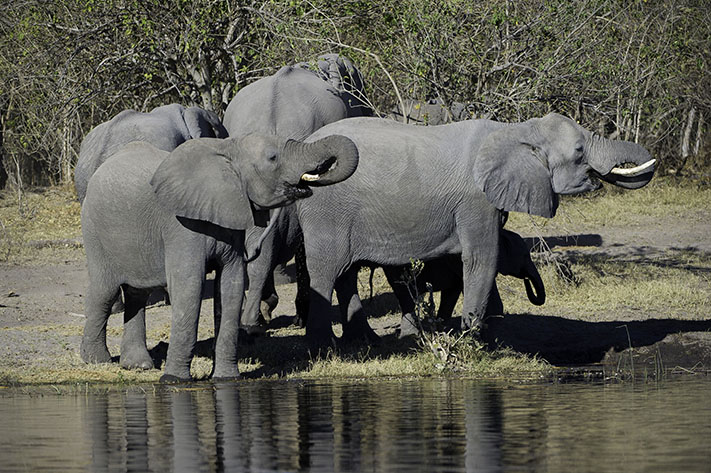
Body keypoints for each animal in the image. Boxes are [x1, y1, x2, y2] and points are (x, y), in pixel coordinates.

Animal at [80, 131, 358, 382]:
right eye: (273, 158)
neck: (229, 150)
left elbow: (231, 285)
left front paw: (226, 379)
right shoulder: (181, 225)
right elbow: (190, 286)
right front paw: (174, 381)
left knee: (138, 293)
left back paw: (139, 366)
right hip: (94, 230)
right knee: (104, 292)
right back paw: (97, 361)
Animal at [386, 228, 548, 336]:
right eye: (525, 256)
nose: (527, 279)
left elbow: (451, 294)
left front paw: (442, 329)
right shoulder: (459, 261)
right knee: (405, 295)